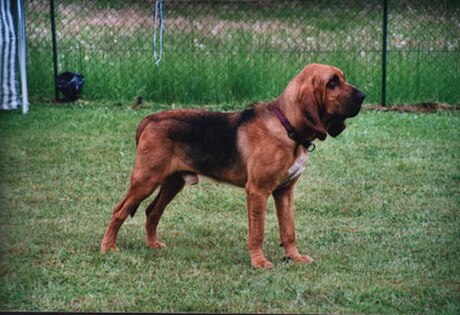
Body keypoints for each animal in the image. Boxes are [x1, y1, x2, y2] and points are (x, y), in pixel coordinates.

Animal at [101, 63, 366, 270]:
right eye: (332, 83)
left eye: (341, 78)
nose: (363, 95)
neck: (287, 126)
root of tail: (149, 119)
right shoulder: (258, 191)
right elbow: (257, 232)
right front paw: (259, 262)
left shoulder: (285, 192)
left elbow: (288, 230)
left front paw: (294, 257)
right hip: (145, 180)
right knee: (119, 210)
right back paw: (108, 247)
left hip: (172, 182)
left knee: (152, 211)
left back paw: (152, 245)